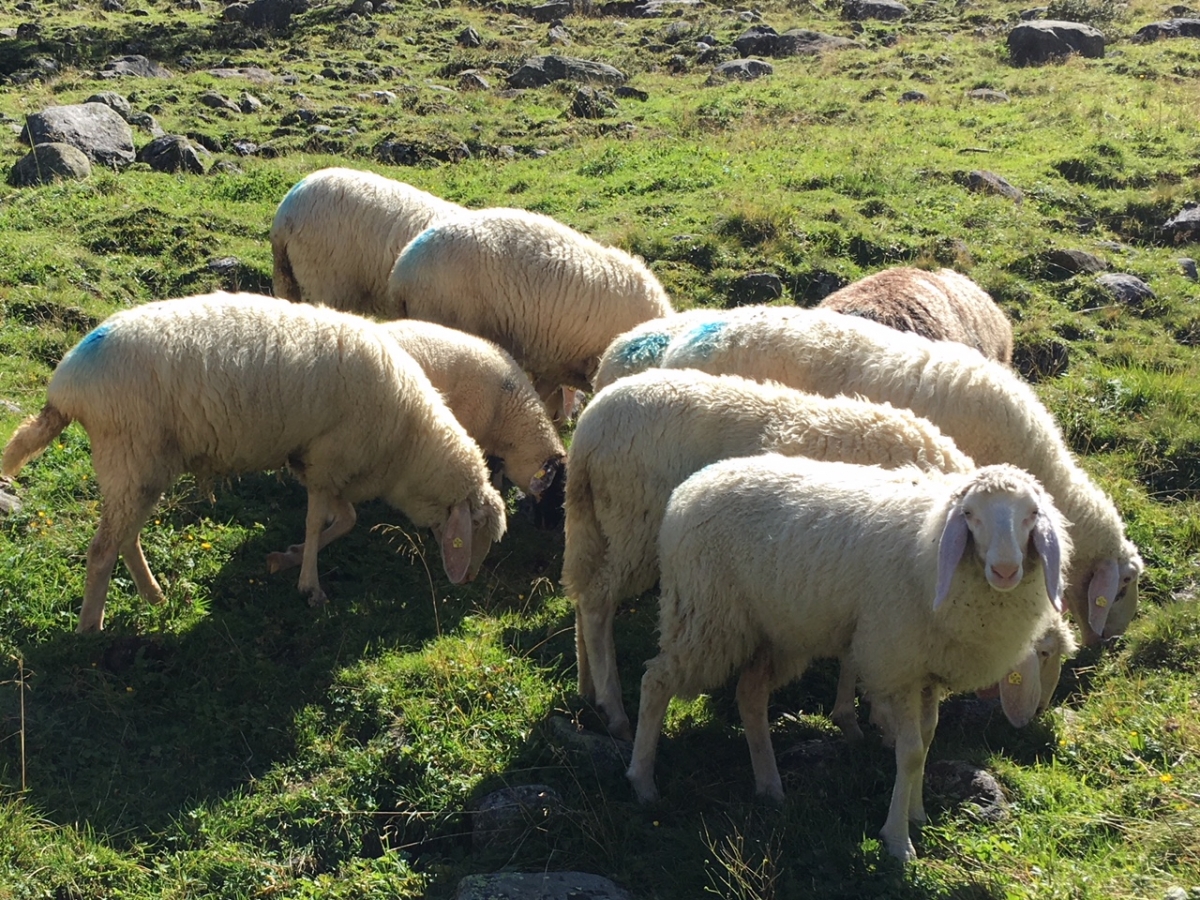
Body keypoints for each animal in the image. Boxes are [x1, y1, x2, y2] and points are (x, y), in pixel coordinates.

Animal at [1, 292, 507, 633]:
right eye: (478, 531)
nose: (468, 582)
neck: (407, 443)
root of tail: (66, 384)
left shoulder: (317, 464)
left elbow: (343, 520)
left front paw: (289, 558)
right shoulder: (328, 461)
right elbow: (319, 522)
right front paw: (309, 585)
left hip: (140, 466)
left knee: (125, 537)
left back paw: (153, 594)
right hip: (130, 455)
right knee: (103, 549)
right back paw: (91, 628)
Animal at [563, 367, 976, 741]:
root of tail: (588, 426)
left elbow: (851, 652)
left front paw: (853, 714)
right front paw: (870, 718)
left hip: (599, 522)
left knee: (583, 593)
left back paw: (588, 688)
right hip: (636, 525)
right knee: (598, 602)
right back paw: (615, 709)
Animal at [626, 456, 1070, 862]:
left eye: (1031, 515)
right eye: (969, 515)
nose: (1006, 569)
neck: (930, 545)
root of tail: (689, 488)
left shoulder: (927, 669)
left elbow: (927, 740)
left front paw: (917, 813)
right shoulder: (896, 661)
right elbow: (910, 751)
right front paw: (898, 841)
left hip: (774, 632)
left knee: (750, 696)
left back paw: (770, 785)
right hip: (707, 614)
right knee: (657, 681)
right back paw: (642, 781)